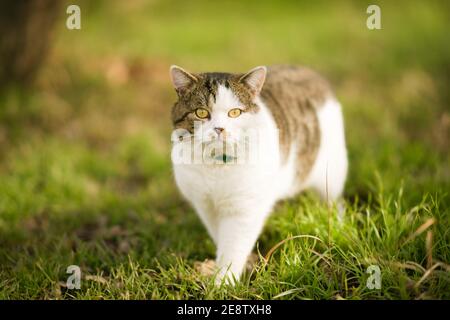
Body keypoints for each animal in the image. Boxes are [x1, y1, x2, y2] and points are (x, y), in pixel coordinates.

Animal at [169, 65, 348, 284]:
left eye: (235, 112)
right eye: (201, 112)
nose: (219, 129)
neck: (218, 165)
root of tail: (309, 71)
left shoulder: (245, 209)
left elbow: (233, 247)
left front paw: (223, 283)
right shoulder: (205, 205)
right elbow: (220, 238)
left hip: (332, 173)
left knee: (334, 202)